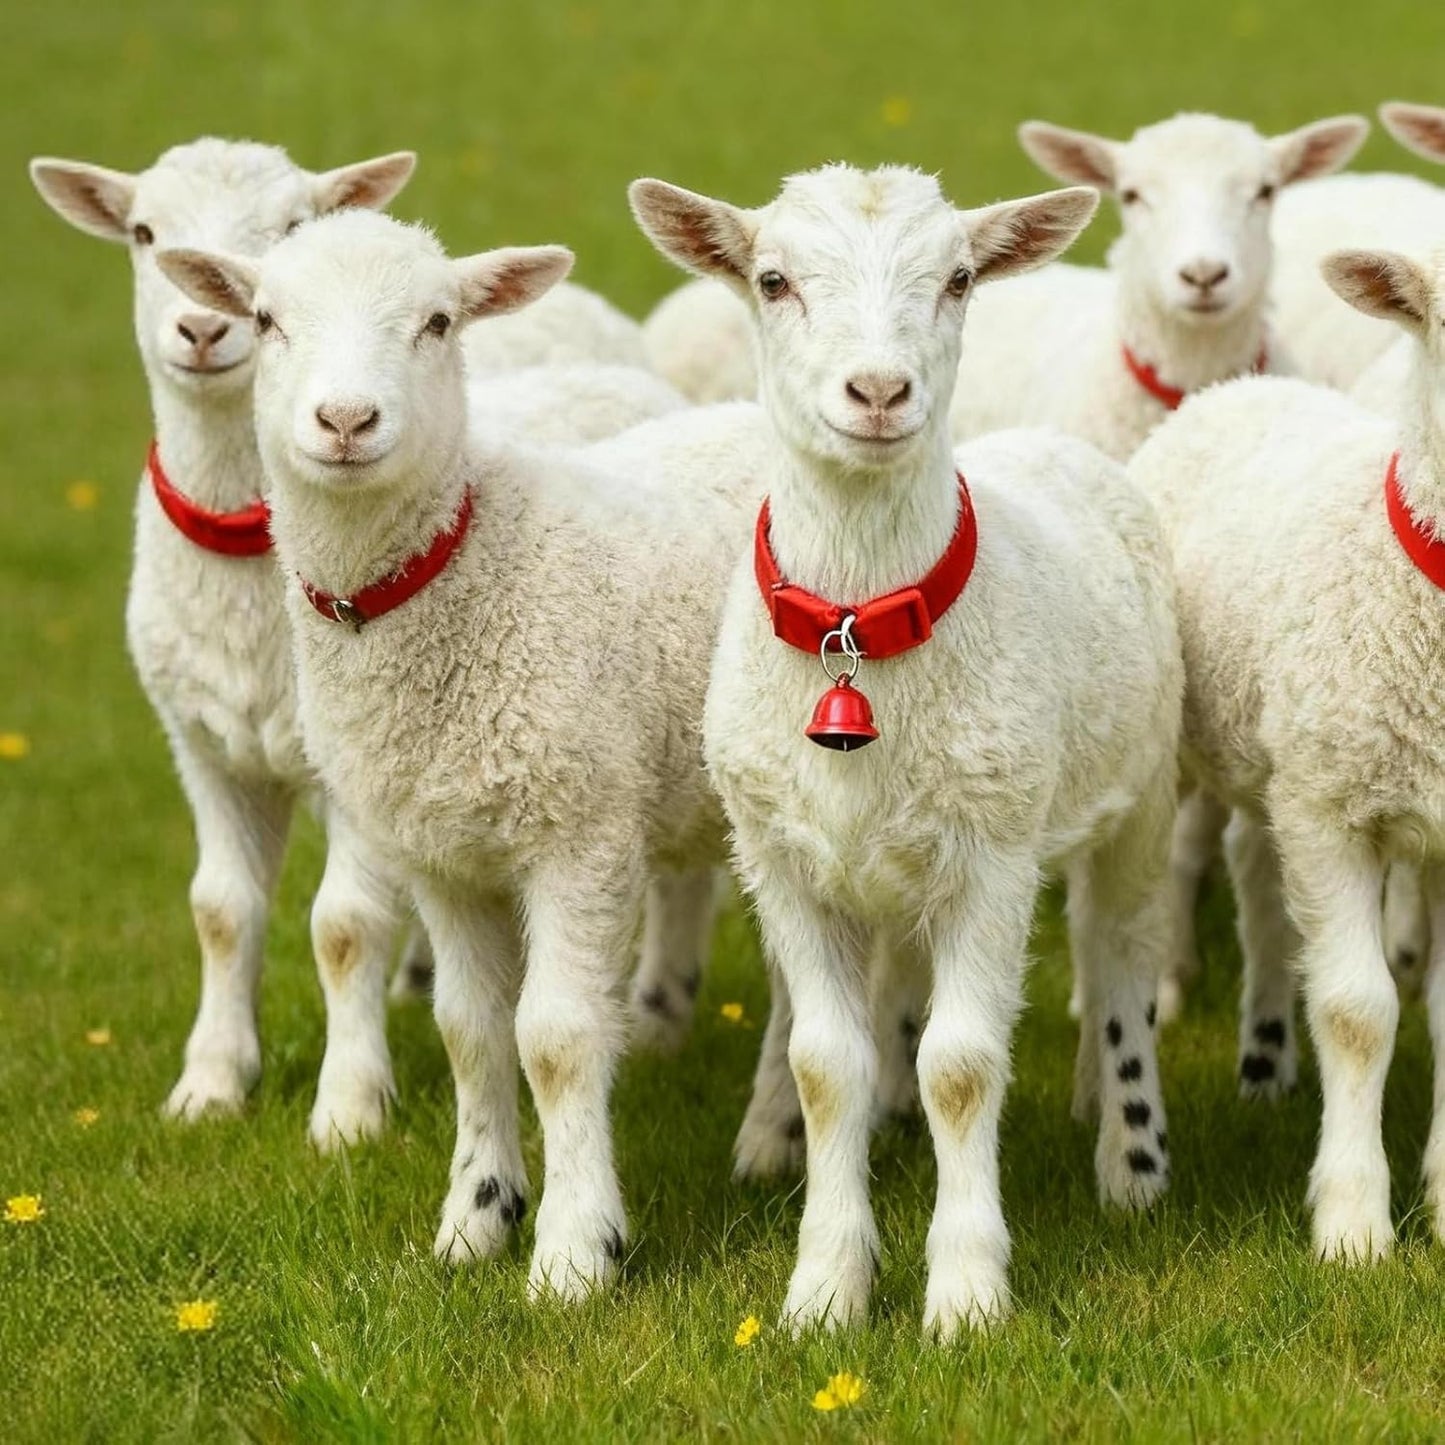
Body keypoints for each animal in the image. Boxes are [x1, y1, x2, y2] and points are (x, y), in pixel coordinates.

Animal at [158, 210, 775, 1300]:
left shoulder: (579, 835)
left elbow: (556, 1038)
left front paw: (574, 1251)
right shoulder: (443, 855)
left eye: (438, 323)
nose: (346, 420)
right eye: (267, 320)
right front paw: (478, 1215)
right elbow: (470, 1030)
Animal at [631, 162, 1183, 1338]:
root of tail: (1042, 439)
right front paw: (823, 1288)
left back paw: (1128, 1155)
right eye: (773, 279)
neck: (855, 629)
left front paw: (967, 1293)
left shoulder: (991, 853)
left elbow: (963, 1067)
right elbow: (824, 1066)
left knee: (1116, 955)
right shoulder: (784, 861)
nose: (879, 393)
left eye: (961, 278)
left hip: (1137, 792)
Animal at [1125, 241, 1445, 1261]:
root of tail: (1237, 387)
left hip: (1281, 762)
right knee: (1179, 865)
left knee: (1258, 882)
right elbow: (1357, 1011)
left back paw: (1265, 1053)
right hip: (1216, 756)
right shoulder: (1334, 812)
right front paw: (1352, 1226)